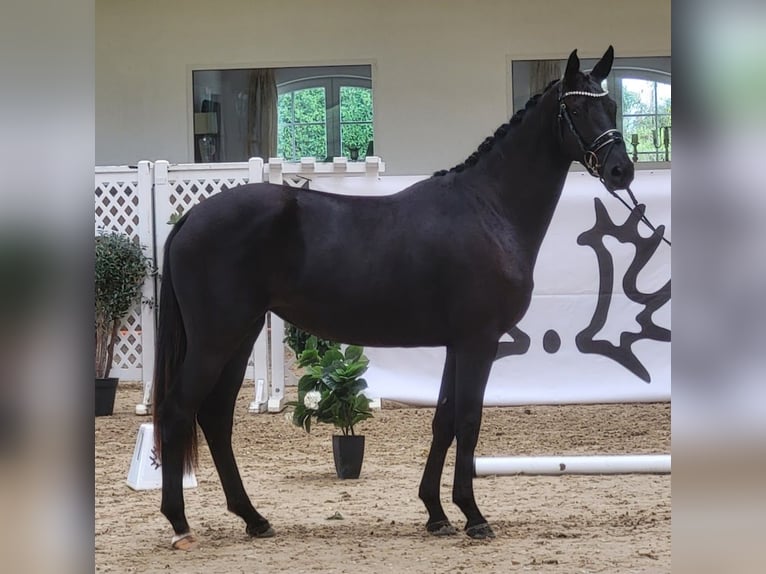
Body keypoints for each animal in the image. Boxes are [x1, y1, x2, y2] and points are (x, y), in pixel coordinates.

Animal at [153, 47, 632, 552]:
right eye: (575, 109)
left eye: (611, 105)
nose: (622, 170)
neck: (488, 209)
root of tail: (191, 218)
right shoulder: (479, 342)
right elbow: (468, 419)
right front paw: (473, 515)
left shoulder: (457, 344)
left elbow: (444, 420)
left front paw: (436, 513)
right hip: (216, 339)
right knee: (178, 410)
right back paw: (180, 523)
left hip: (239, 336)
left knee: (215, 416)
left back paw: (253, 518)